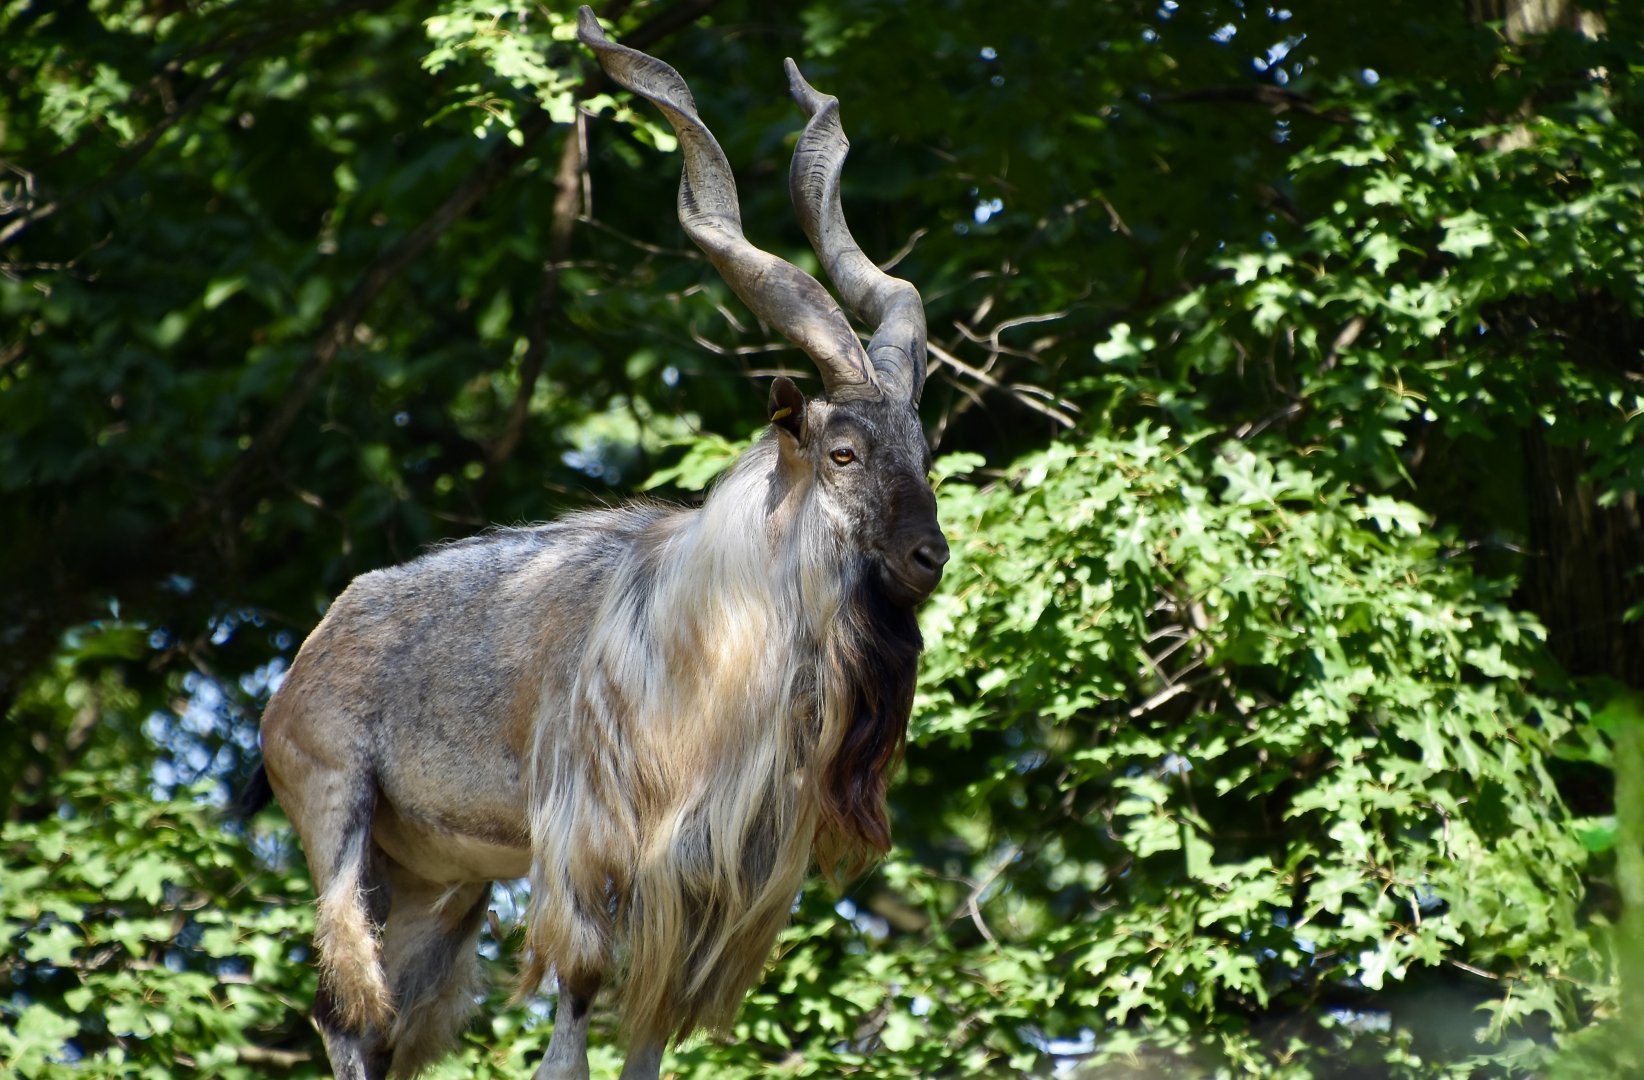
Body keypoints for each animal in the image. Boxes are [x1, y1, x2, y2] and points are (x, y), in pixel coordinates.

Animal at [256, 8, 947, 1078]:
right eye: (842, 452)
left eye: (924, 450)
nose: (929, 557)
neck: (711, 647)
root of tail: (307, 656)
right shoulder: (588, 849)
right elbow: (576, 1008)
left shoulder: (710, 889)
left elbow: (649, 1036)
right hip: (337, 812)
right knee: (347, 1010)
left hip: (442, 879)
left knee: (395, 1018)